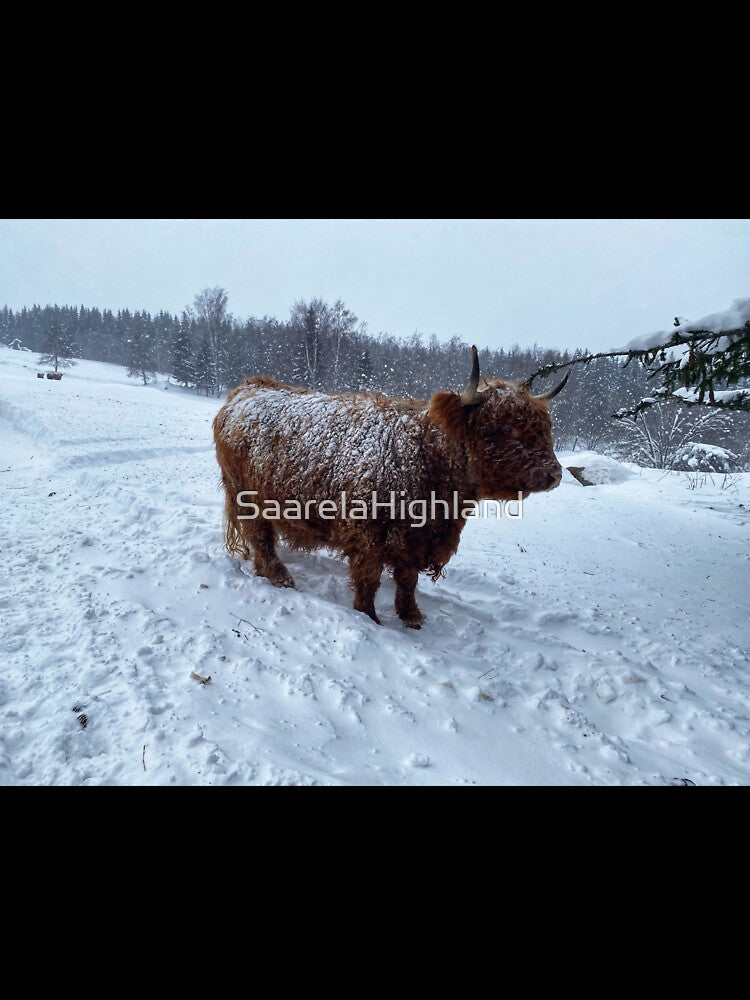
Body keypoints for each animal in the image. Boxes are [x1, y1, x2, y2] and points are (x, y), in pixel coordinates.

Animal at [213, 347, 568, 628]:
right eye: (505, 427)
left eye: (545, 427)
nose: (554, 473)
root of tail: (246, 388)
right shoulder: (368, 536)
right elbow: (369, 580)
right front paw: (368, 617)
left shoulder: (417, 540)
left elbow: (407, 581)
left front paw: (411, 616)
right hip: (246, 495)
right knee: (261, 538)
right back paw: (280, 577)